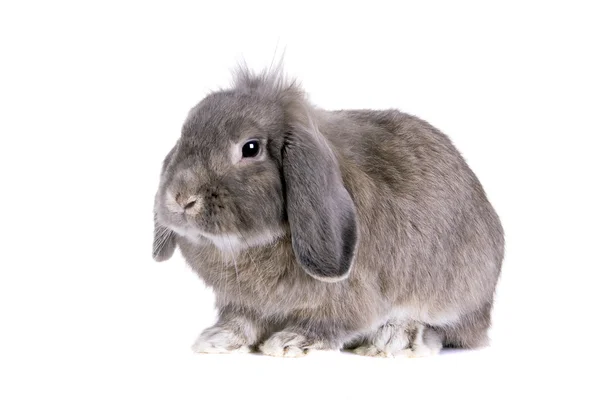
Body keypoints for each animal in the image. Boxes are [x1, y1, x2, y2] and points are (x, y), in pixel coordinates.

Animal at [152, 66, 504, 360]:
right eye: (184, 136)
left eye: (250, 148)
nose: (181, 199)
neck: (245, 247)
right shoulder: (241, 302)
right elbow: (242, 320)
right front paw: (217, 338)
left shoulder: (348, 300)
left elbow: (330, 323)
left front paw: (291, 341)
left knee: (442, 329)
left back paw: (392, 340)